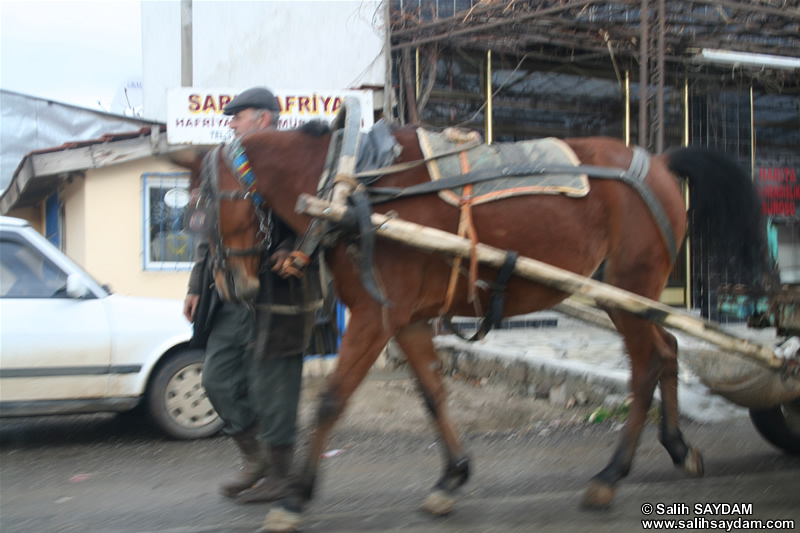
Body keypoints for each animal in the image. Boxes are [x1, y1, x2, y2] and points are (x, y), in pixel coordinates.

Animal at [186, 121, 764, 532]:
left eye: (201, 205)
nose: (233, 287)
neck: (352, 190)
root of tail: (660, 161)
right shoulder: (406, 319)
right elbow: (433, 392)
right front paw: (452, 476)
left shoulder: (376, 315)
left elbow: (331, 400)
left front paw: (295, 496)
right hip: (628, 297)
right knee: (667, 349)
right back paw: (677, 446)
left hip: (630, 285)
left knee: (646, 365)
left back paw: (610, 476)